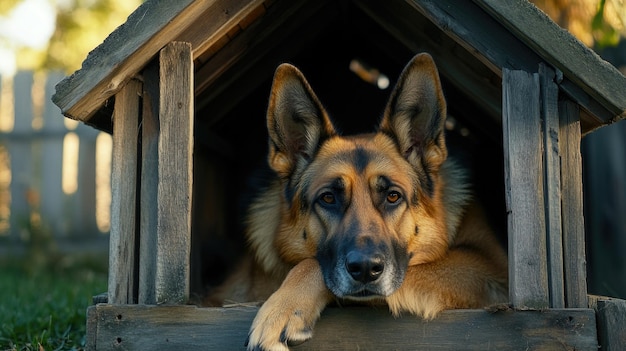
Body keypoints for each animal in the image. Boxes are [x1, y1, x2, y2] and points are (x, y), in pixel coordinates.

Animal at [210, 53, 508, 350]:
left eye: (392, 196)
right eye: (328, 198)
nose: (366, 269)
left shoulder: (488, 267)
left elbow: (313, 264)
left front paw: (282, 309)